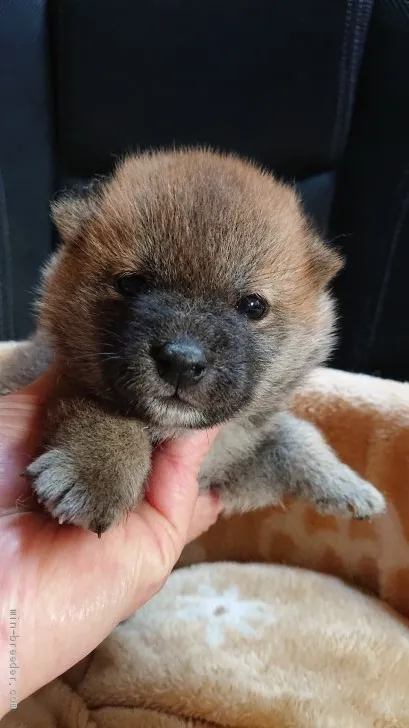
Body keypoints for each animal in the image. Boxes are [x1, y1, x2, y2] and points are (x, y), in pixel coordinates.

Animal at [0, 149, 384, 536]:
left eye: (253, 305)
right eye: (131, 284)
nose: (182, 362)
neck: (171, 430)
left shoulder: (227, 465)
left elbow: (293, 435)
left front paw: (345, 483)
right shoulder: (60, 374)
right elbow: (102, 409)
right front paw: (95, 472)